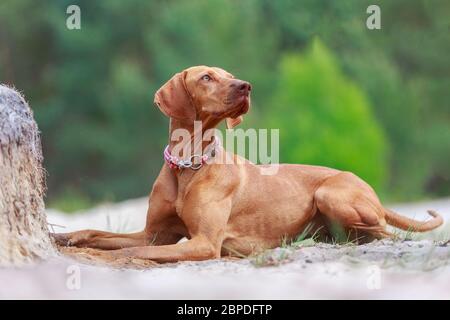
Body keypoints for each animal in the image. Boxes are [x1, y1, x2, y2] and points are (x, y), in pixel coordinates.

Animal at [52, 65, 442, 262]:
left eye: (229, 75)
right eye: (206, 77)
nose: (245, 86)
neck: (187, 165)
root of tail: (372, 192)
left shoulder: (204, 243)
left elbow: (140, 250)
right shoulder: (156, 231)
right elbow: (98, 233)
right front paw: (66, 237)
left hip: (331, 195)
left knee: (388, 234)